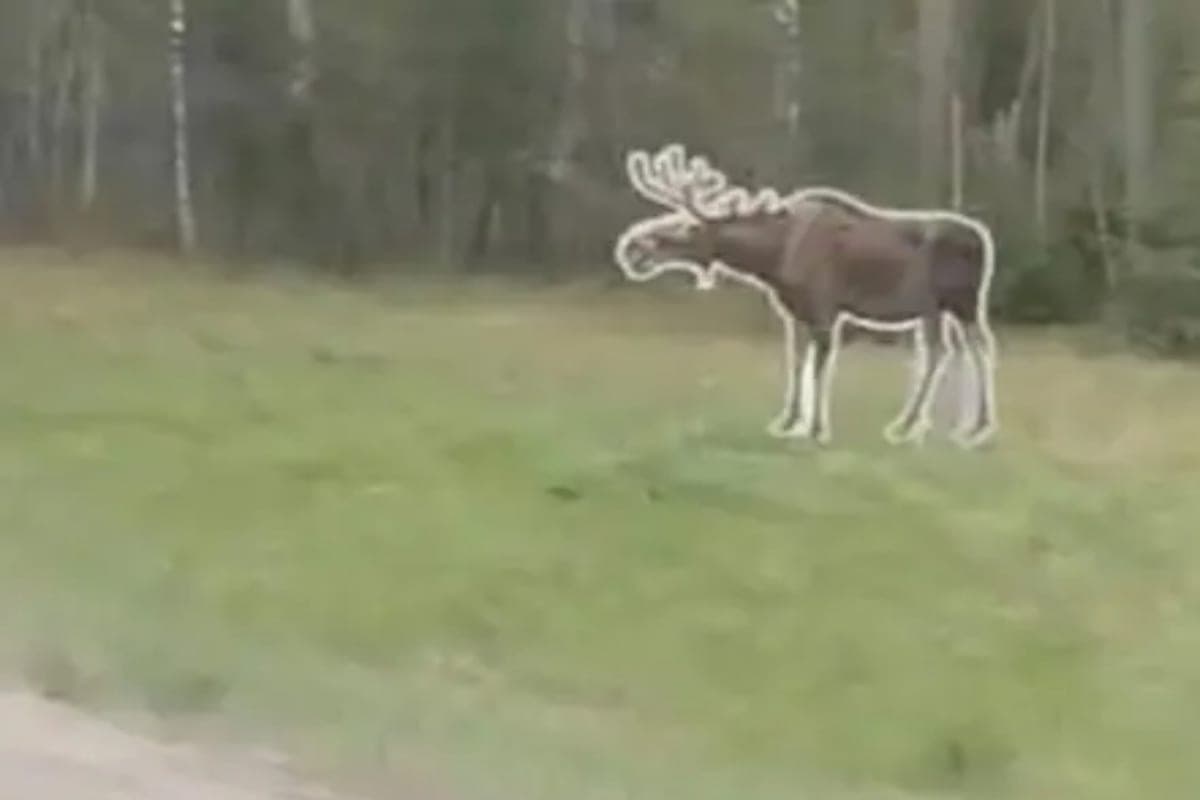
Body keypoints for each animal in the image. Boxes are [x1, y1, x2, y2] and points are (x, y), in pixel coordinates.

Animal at [612, 143, 999, 448]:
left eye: (688, 225)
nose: (632, 248)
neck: (773, 258)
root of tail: (983, 242)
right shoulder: (793, 311)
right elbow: (797, 362)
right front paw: (787, 421)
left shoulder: (825, 309)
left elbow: (820, 367)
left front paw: (816, 429)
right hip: (943, 308)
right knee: (959, 349)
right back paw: (950, 426)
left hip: (959, 302)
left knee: (962, 348)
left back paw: (942, 426)